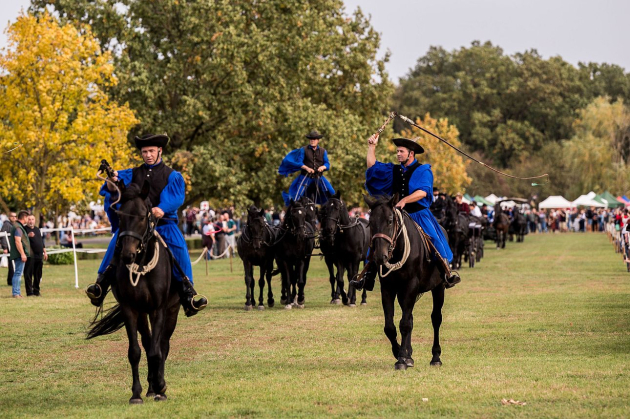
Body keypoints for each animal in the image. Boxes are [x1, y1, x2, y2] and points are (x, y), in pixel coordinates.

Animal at [86, 183, 180, 404]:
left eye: (143, 216)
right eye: (120, 216)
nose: (127, 254)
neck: (142, 264)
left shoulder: (158, 309)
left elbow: (157, 351)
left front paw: (161, 386)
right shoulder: (130, 309)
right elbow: (135, 351)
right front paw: (137, 393)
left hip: (171, 310)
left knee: (163, 344)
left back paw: (158, 386)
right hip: (142, 313)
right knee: (147, 342)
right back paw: (151, 387)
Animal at [366, 195, 450, 370]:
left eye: (390, 220)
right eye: (370, 222)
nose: (380, 256)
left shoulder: (411, 285)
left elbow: (404, 324)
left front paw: (401, 359)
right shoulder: (389, 288)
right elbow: (390, 327)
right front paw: (401, 353)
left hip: (438, 288)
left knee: (436, 318)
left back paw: (436, 357)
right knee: (410, 317)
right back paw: (409, 355)